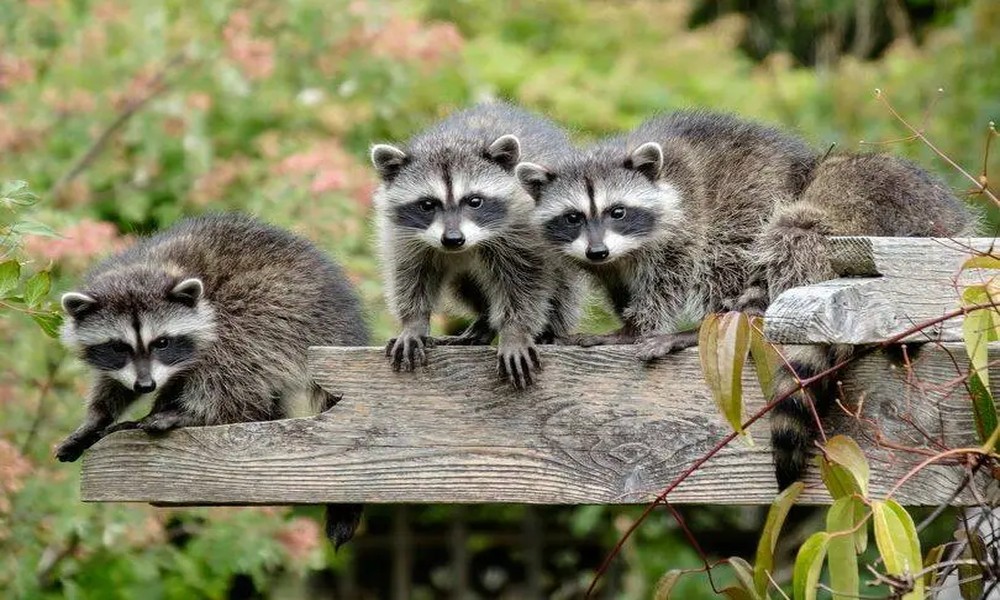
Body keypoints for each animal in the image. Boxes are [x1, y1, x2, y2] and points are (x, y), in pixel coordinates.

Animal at [56, 213, 370, 548]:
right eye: (118, 347)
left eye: (162, 343)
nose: (146, 386)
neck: (153, 266)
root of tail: (343, 326)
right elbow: (113, 383)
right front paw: (97, 418)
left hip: (287, 308)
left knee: (234, 348)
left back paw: (202, 413)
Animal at [371, 102, 583, 388]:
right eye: (427, 204)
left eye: (474, 201)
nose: (453, 239)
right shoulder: (402, 235)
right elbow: (411, 273)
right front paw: (413, 322)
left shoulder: (523, 231)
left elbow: (526, 281)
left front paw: (515, 330)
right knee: (464, 285)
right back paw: (484, 322)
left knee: (562, 285)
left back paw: (550, 328)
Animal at [516, 110, 973, 488]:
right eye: (573, 217)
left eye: (618, 211)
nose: (597, 250)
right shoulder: (608, 262)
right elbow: (619, 285)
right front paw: (626, 318)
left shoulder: (689, 211)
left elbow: (675, 269)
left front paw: (640, 326)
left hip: (796, 205)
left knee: (744, 253)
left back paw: (714, 321)